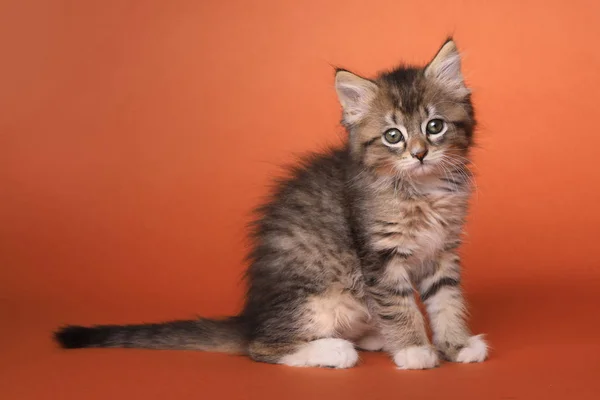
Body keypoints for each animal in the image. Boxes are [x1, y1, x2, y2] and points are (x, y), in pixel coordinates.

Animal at [54, 39, 488, 370]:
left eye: (434, 126)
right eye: (393, 136)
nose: (419, 154)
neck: (423, 190)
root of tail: (251, 316)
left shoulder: (442, 251)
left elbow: (446, 301)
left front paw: (457, 345)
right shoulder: (380, 256)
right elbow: (400, 306)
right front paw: (415, 350)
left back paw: (373, 337)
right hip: (324, 297)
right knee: (262, 347)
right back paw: (337, 349)